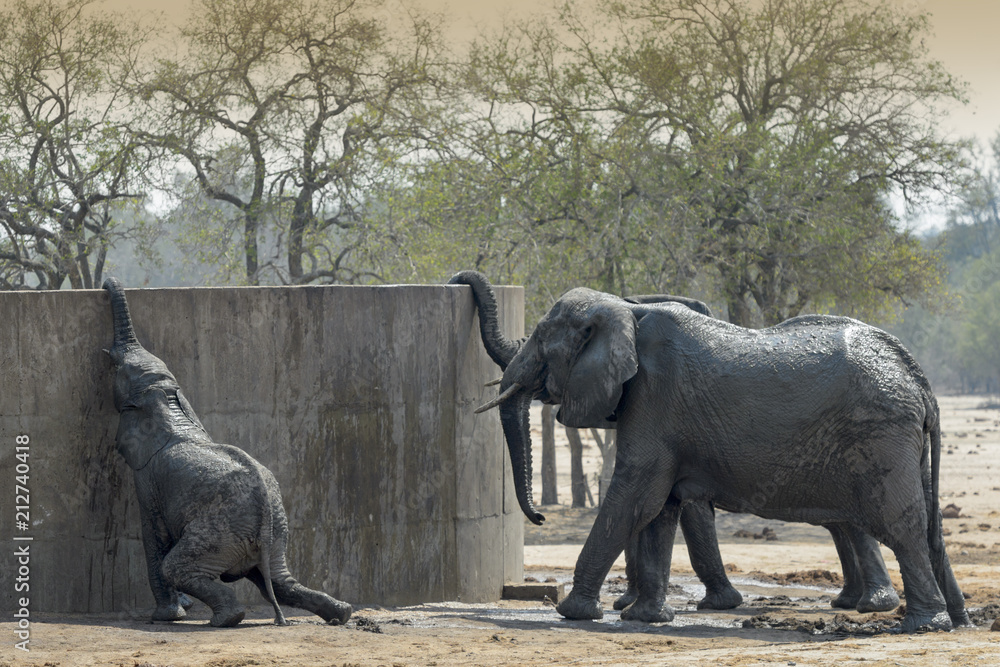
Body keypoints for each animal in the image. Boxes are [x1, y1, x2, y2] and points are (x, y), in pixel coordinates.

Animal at [102, 278, 352, 628]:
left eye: (117, 364)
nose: (107, 282)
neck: (165, 395)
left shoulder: (147, 476)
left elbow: (154, 535)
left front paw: (166, 617)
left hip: (218, 533)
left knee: (177, 567)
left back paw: (226, 619)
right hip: (276, 532)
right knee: (280, 581)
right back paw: (341, 613)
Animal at [471, 283, 968, 633]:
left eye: (541, 339)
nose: (538, 518)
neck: (624, 309)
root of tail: (917, 376)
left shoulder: (656, 397)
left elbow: (637, 492)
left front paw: (574, 612)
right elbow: (659, 507)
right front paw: (646, 619)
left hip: (880, 435)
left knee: (899, 523)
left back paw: (919, 625)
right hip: (901, 439)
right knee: (928, 526)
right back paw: (956, 620)